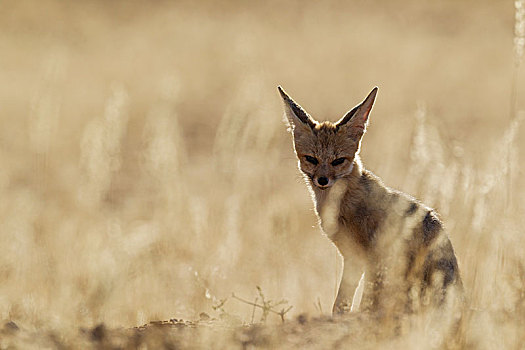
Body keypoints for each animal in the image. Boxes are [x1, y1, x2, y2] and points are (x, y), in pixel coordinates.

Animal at [276, 86, 460, 322]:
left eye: (338, 161)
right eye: (311, 159)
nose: (323, 180)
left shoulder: (373, 257)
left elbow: (365, 301)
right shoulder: (352, 257)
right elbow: (341, 301)